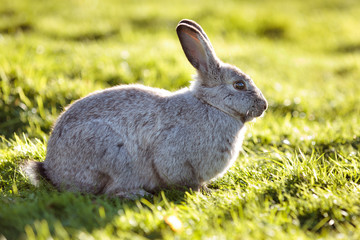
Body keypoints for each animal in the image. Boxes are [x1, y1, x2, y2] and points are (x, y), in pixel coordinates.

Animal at [24, 19, 268, 199]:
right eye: (239, 85)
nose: (263, 106)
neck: (210, 104)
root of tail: (52, 171)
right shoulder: (173, 155)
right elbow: (181, 178)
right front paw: (204, 192)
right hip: (114, 156)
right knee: (107, 192)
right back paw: (136, 194)